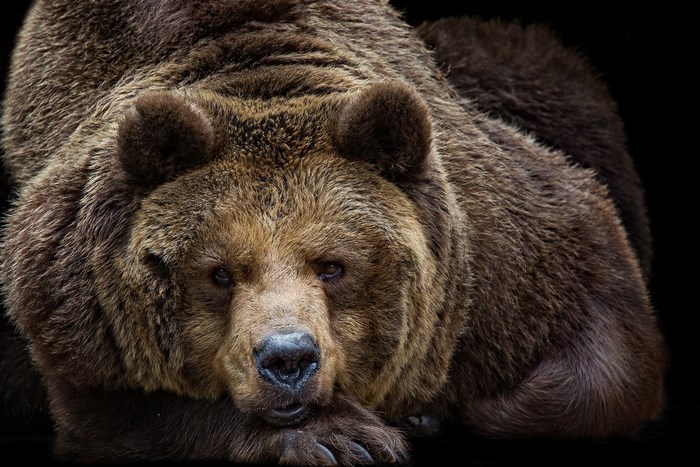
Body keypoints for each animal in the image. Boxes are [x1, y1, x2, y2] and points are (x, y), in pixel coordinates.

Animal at [0, 1, 666, 465]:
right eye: (218, 274)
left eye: (333, 266)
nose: (288, 358)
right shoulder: (70, 298)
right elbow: (115, 413)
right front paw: (341, 437)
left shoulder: (497, 254)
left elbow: (604, 336)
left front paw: (442, 412)